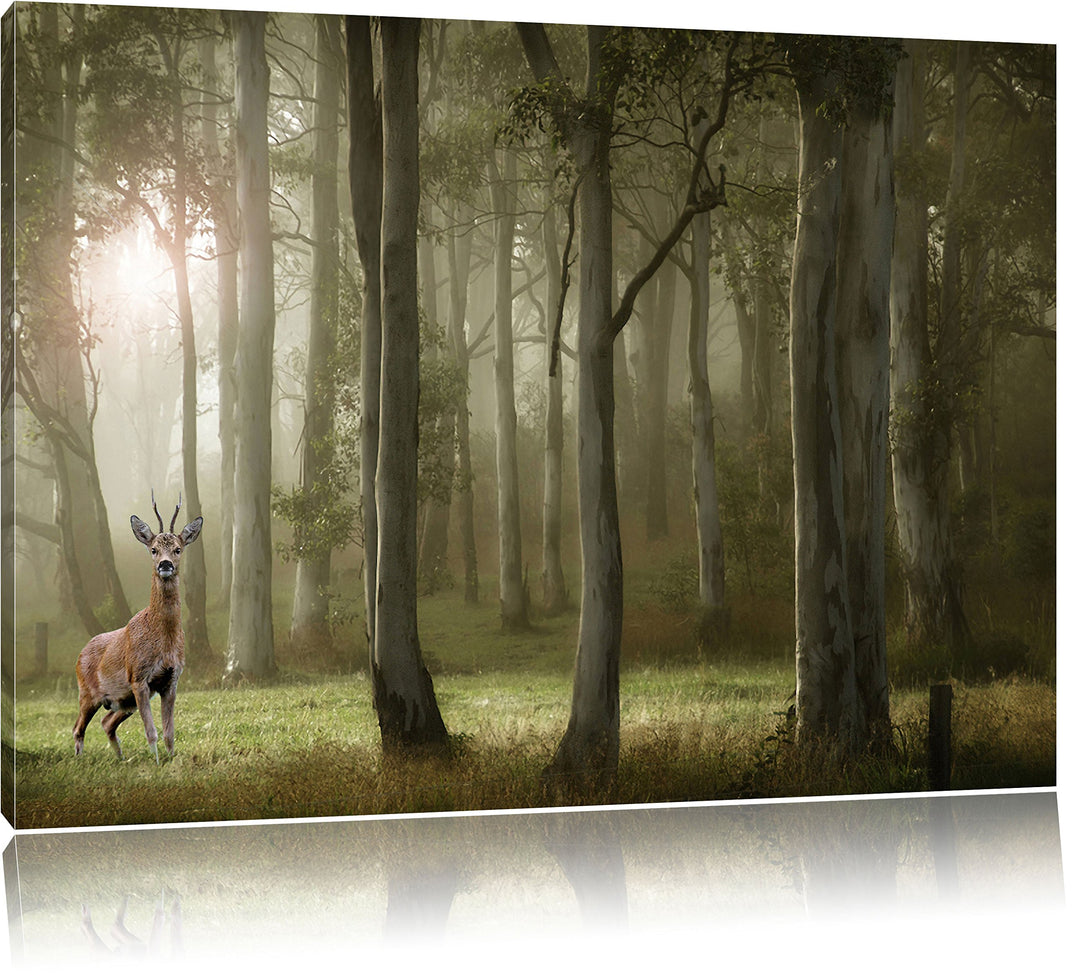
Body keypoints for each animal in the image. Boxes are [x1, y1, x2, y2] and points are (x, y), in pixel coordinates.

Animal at [73, 492, 203, 763]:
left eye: (178, 549)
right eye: (153, 550)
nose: (165, 564)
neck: (164, 639)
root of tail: (79, 654)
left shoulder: (172, 679)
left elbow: (169, 732)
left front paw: (172, 758)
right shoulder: (139, 677)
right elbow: (151, 731)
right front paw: (157, 763)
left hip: (123, 701)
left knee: (106, 722)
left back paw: (121, 759)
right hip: (88, 693)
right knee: (78, 728)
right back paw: (79, 760)